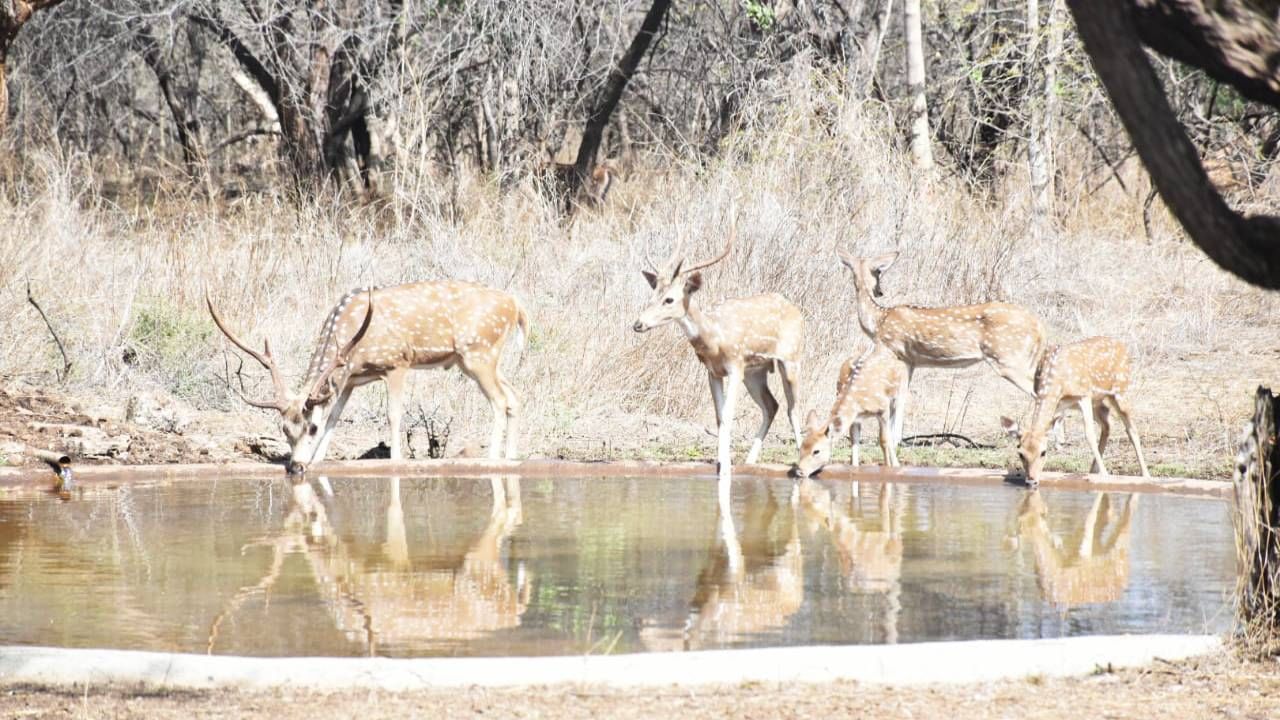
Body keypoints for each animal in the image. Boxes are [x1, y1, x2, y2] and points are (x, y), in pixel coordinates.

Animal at [207, 278, 527, 474]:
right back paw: (511, 456)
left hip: (479, 352)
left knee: (500, 400)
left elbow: (393, 414)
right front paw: (318, 460)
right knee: (514, 396)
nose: (295, 466)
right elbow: (334, 418)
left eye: (310, 427)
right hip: (475, 360)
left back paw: (492, 458)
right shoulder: (349, 380)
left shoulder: (397, 362)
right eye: (284, 429)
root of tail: (516, 306)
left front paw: (396, 460)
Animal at [634, 204, 803, 489]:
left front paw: (725, 472)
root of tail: (797, 311)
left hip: (790, 357)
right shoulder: (713, 372)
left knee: (794, 407)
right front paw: (722, 465)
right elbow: (720, 417)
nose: (638, 323)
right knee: (772, 405)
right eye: (653, 295)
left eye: (670, 299)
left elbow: (727, 418)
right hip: (756, 372)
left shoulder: (735, 364)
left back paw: (804, 461)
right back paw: (750, 461)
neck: (714, 339)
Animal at [793, 343, 906, 476]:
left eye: (816, 451)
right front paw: (854, 467)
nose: (799, 471)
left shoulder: (882, 409)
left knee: (893, 429)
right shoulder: (855, 418)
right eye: (801, 447)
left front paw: (888, 467)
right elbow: (854, 441)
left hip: (899, 395)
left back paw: (896, 464)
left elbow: (883, 440)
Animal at [839, 249, 1049, 445]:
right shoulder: (910, 361)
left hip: (1008, 358)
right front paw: (896, 438)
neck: (878, 321)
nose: (879, 292)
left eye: (879, 272)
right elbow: (902, 396)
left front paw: (892, 439)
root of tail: (1039, 326)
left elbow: (897, 398)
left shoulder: (894, 352)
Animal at [998, 335, 1152, 481]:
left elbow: (1089, 434)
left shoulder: (1083, 395)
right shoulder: (1053, 401)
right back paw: (1092, 470)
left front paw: (1105, 473)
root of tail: (1123, 346)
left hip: (1120, 390)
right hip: (1098, 401)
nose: (1031, 479)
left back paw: (1145, 474)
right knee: (1108, 424)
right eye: (1020, 453)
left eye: (1043, 452)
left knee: (1131, 429)